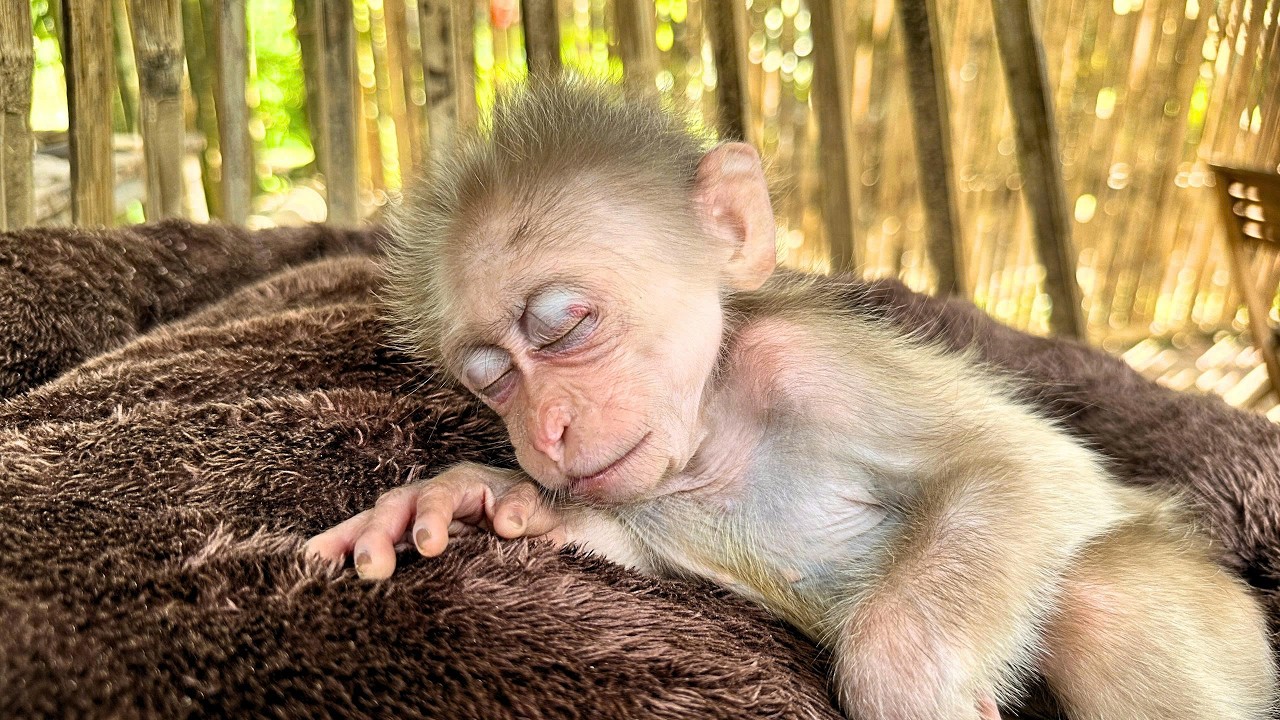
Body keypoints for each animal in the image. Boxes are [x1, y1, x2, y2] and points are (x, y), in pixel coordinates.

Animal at [305, 78, 1277, 720]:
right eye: (492, 379)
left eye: (563, 327)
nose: (546, 430)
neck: (716, 433)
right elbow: (610, 541)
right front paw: (479, 496)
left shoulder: (807, 361)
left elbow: (1023, 471)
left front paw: (903, 676)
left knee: (1100, 596)